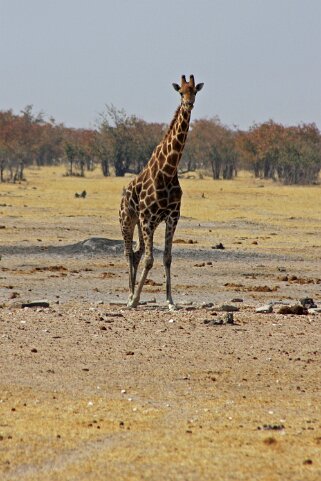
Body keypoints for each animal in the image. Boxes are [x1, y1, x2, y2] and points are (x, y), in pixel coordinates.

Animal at [119, 73, 204, 310]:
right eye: (180, 92)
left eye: (195, 91)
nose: (188, 104)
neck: (168, 171)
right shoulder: (147, 217)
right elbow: (150, 260)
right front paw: (135, 300)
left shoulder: (172, 216)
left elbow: (167, 258)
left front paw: (170, 301)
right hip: (128, 219)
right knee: (128, 252)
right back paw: (129, 296)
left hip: (145, 223)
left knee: (136, 252)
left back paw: (132, 294)